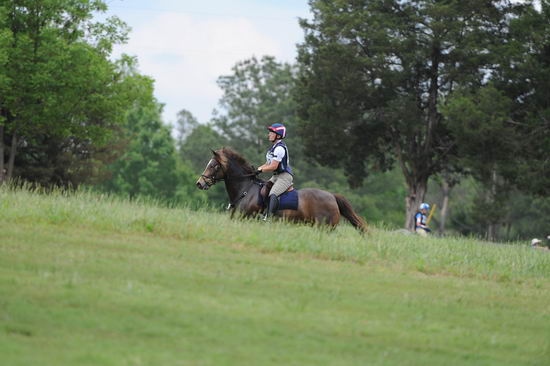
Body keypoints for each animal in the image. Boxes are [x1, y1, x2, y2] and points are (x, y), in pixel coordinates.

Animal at [196, 147, 368, 233]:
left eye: (214, 166)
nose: (199, 183)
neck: (245, 190)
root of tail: (332, 196)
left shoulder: (246, 219)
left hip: (324, 228)